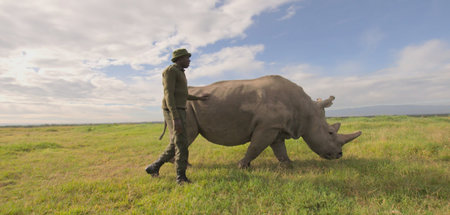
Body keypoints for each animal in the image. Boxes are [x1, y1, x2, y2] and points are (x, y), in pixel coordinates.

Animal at [160, 75, 360, 168]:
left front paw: (289, 166)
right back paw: (183, 166)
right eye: (330, 133)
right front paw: (242, 166)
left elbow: (280, 150)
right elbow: (255, 147)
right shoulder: (267, 127)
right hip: (184, 105)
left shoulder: (276, 127)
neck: (306, 110)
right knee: (188, 134)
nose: (339, 155)